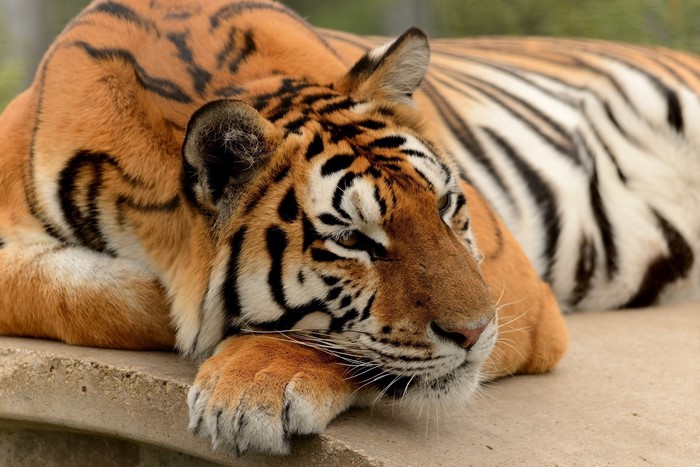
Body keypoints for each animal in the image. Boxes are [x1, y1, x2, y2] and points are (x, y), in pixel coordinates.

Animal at [0, 0, 695, 457]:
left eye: (448, 205)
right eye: (354, 240)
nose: (477, 333)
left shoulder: (511, 275)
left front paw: (250, 382)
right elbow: (72, 292)